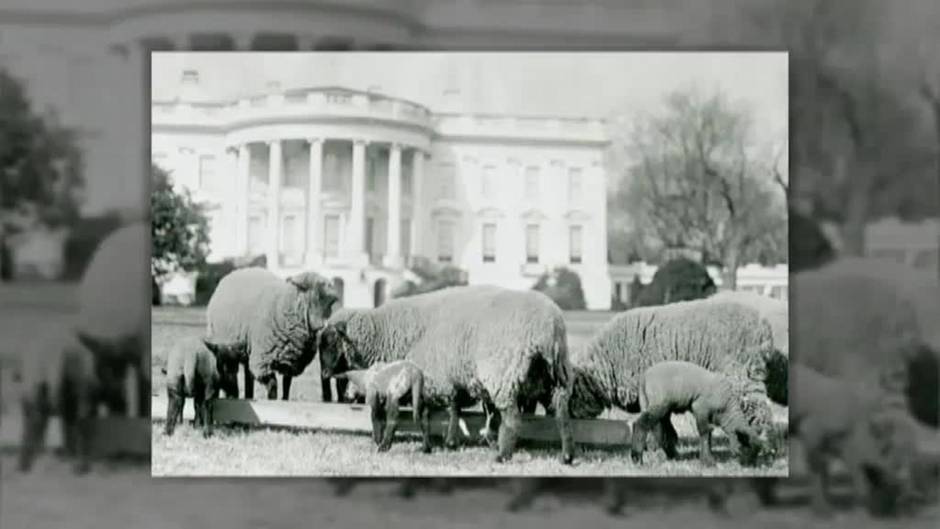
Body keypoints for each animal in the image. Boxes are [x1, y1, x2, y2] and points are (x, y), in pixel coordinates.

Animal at [200, 268, 340, 400]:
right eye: (318, 297)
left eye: (332, 302)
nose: (325, 325)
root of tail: (238, 271)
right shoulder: (263, 361)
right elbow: (273, 386)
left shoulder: (290, 362)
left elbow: (286, 387)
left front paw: (284, 400)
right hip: (227, 350)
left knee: (248, 376)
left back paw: (248, 396)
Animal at [320, 284, 576, 462]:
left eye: (331, 342)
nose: (323, 374)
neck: (394, 332)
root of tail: (550, 327)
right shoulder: (444, 378)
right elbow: (450, 408)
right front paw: (449, 441)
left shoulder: (434, 375)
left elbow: (440, 409)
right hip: (554, 378)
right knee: (562, 415)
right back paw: (566, 456)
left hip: (503, 374)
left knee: (513, 418)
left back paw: (503, 456)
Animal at [628, 358, 776, 466]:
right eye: (747, 446)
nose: (750, 466)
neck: (726, 409)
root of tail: (644, 377)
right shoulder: (700, 407)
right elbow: (704, 431)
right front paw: (708, 461)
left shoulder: (709, 414)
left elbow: (708, 433)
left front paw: (707, 458)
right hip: (660, 402)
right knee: (641, 423)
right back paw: (637, 457)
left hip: (654, 404)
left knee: (658, 427)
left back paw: (670, 455)